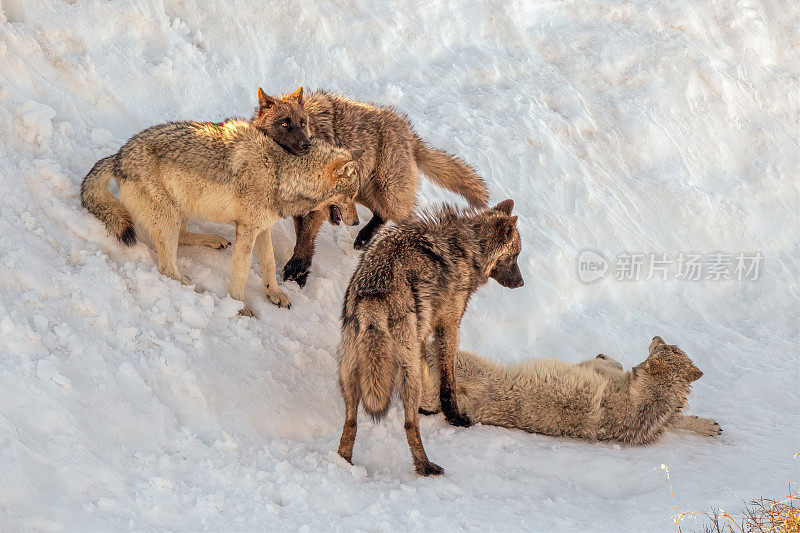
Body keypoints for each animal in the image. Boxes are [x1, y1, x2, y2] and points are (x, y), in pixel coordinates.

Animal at [284, 87, 490, 286]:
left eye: (301, 127)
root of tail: (410, 134)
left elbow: (305, 238)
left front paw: (296, 271)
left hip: (387, 194)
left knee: (408, 220)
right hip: (364, 191)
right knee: (380, 215)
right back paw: (364, 237)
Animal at [336, 200, 524, 474]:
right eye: (516, 255)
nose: (522, 283)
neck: (467, 247)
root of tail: (374, 294)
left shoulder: (423, 335)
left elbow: (429, 372)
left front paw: (427, 407)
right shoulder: (449, 326)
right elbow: (448, 382)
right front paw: (454, 417)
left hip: (350, 375)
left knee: (351, 423)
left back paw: (344, 461)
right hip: (406, 373)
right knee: (409, 425)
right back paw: (426, 467)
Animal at [416, 334, 720, 442]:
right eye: (670, 346)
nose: (656, 335)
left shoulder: (596, 370)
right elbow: (678, 418)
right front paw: (708, 425)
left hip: (460, 363)